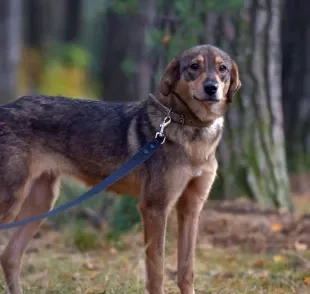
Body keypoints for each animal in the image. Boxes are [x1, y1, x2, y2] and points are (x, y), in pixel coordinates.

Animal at [0, 44, 241, 294]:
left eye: (222, 68)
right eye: (194, 66)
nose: (211, 88)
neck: (193, 132)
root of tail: (5, 108)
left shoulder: (191, 208)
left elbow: (186, 271)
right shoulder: (155, 207)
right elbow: (157, 271)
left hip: (42, 202)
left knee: (9, 256)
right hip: (12, 201)